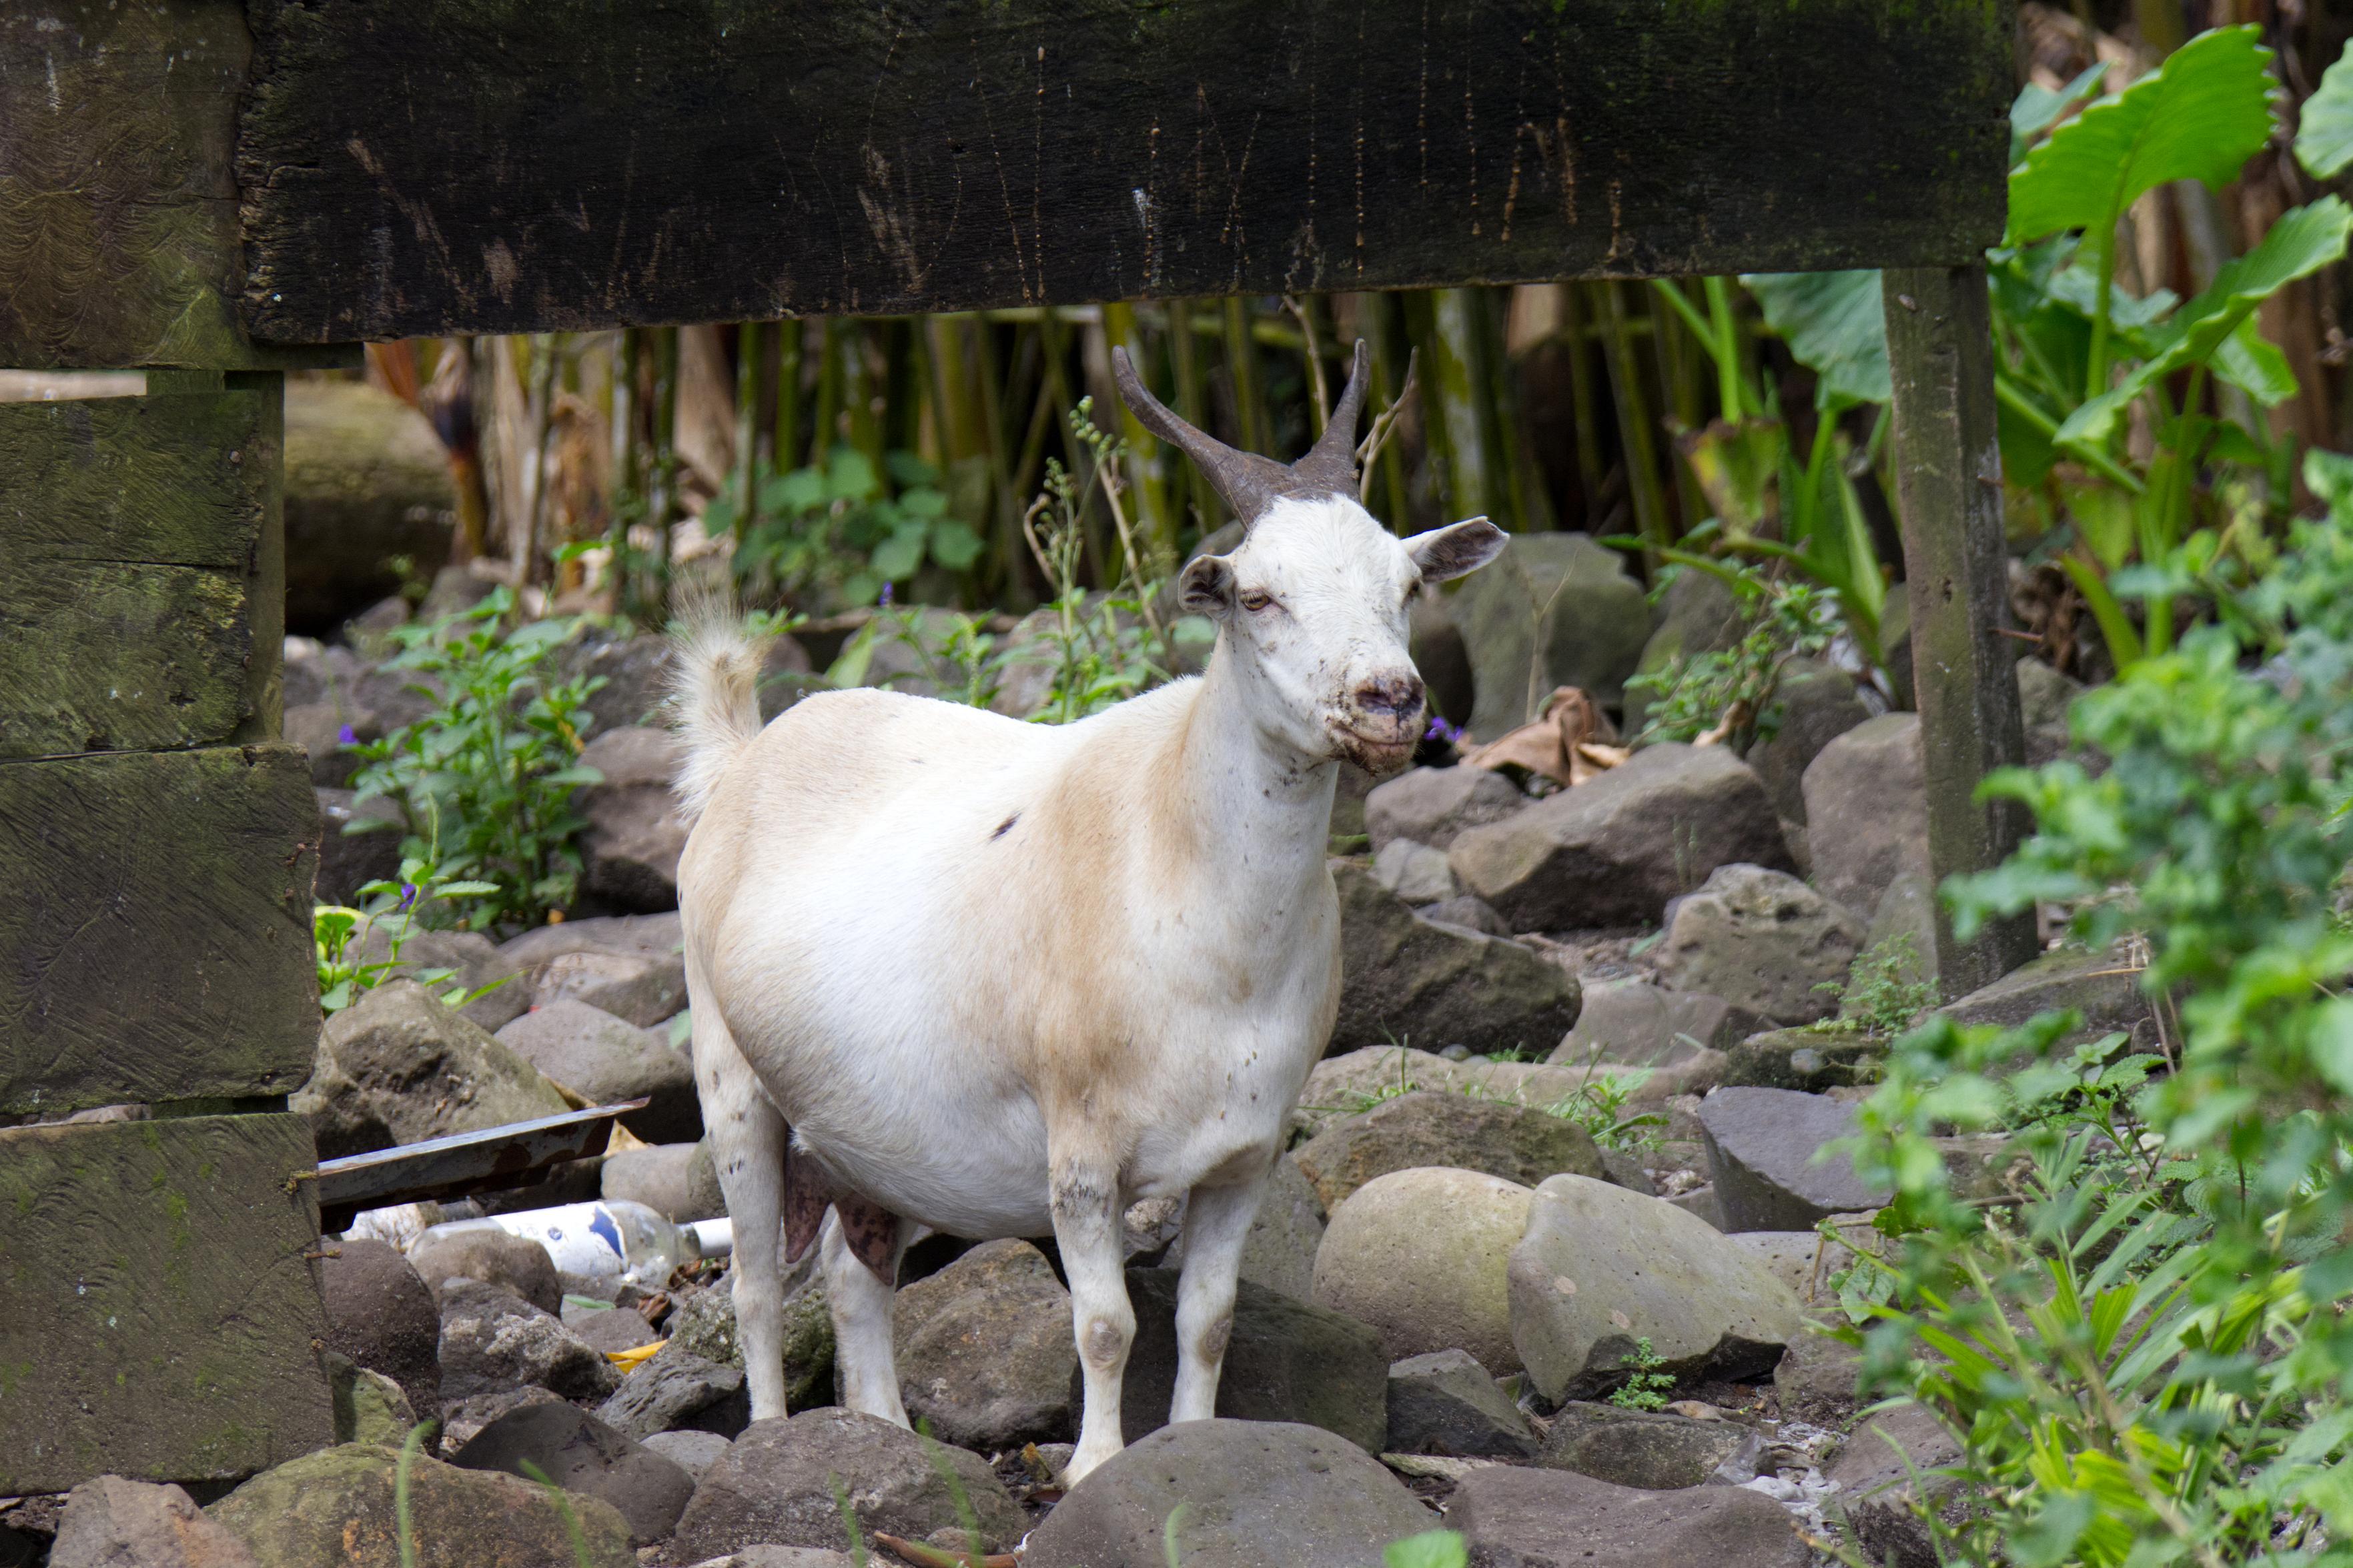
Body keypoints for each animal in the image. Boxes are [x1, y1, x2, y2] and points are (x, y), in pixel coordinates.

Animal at [669, 341, 1505, 1482]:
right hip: (728, 1072)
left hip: (869, 1136)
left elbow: (1206, 1316)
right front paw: (1096, 1466)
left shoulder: (1247, 1150)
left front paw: (1196, 1445)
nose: (1388, 699)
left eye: (1407, 582)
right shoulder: (1080, 1151)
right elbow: (1107, 1321)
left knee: (851, 1271)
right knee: (755, 1284)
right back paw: (766, 1440)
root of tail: (742, 756)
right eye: (1257, 595)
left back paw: (881, 1440)